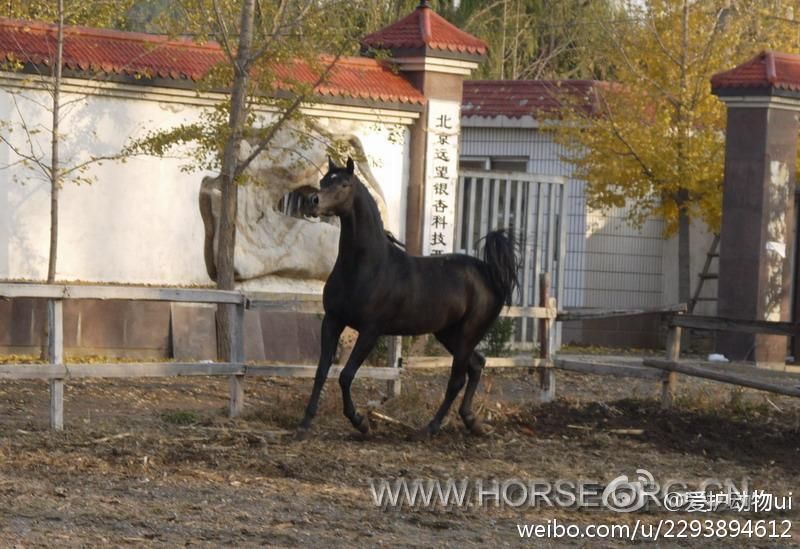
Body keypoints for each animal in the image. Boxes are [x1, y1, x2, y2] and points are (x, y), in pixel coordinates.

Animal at [298, 157, 520, 436]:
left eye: (344, 184)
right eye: (324, 180)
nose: (312, 201)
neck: (366, 266)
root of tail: (489, 272)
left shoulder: (371, 330)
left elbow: (345, 376)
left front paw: (361, 422)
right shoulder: (333, 321)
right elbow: (321, 371)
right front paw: (304, 424)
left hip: (469, 333)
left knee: (457, 378)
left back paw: (431, 428)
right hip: (449, 334)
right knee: (476, 365)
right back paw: (471, 422)